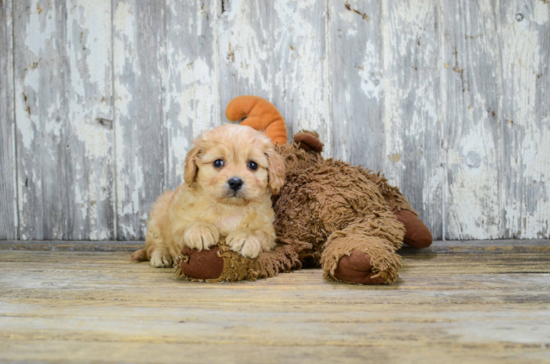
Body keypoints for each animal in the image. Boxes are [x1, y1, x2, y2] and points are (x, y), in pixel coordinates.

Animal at [132, 124, 286, 268]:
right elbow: (184, 227)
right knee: (155, 244)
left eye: (253, 165)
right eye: (218, 162)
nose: (235, 182)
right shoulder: (177, 221)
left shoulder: (268, 228)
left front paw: (246, 237)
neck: (229, 207)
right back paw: (161, 255)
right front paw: (200, 230)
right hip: (158, 214)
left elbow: (261, 233)